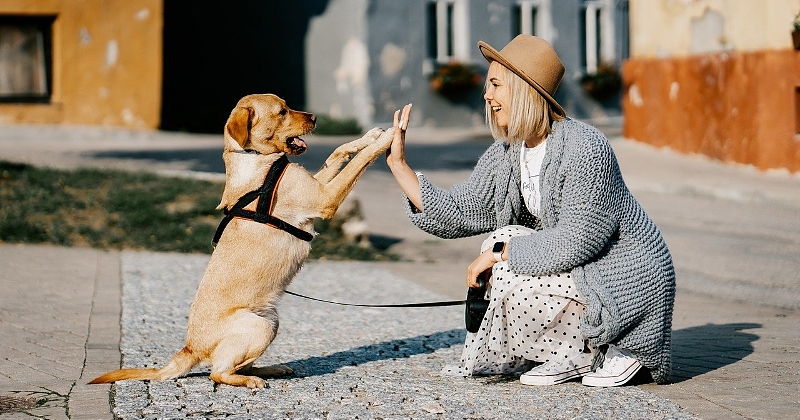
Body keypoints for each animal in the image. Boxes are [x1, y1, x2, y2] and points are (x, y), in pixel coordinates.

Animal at [89, 93, 396, 388]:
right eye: (282, 111)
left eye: (287, 106)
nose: (315, 117)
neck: (255, 158)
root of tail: (190, 348)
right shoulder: (325, 198)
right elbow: (359, 161)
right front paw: (389, 137)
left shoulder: (318, 186)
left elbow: (338, 152)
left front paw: (369, 136)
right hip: (259, 327)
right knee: (218, 373)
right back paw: (251, 380)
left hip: (271, 321)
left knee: (236, 365)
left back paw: (271, 369)